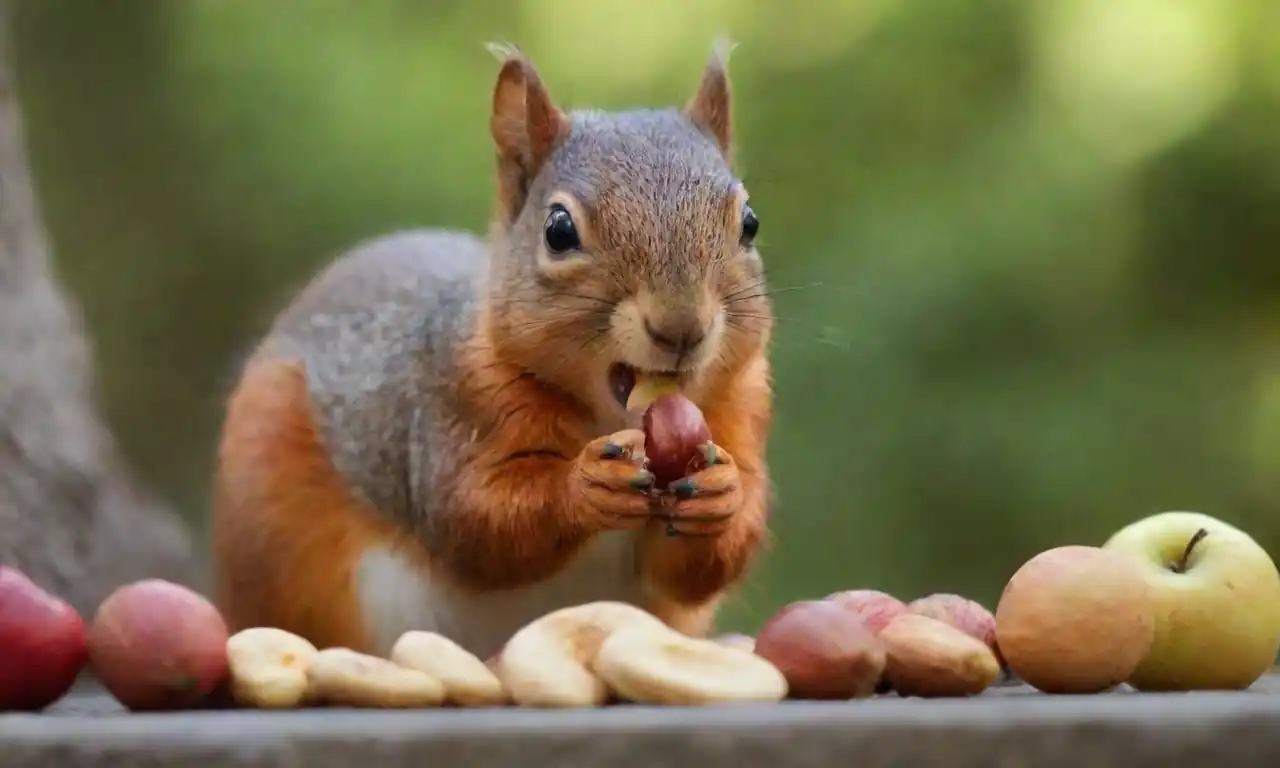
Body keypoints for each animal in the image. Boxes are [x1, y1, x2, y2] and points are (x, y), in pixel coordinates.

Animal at [210, 41, 776, 662]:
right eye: (558, 230)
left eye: (750, 223)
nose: (681, 327)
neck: (609, 415)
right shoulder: (454, 408)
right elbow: (476, 522)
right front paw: (584, 485)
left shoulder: (741, 407)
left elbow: (697, 565)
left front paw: (724, 496)